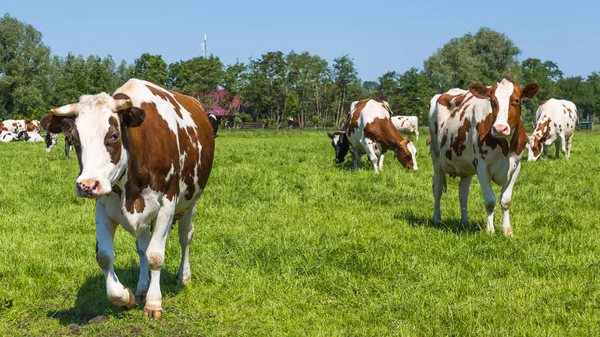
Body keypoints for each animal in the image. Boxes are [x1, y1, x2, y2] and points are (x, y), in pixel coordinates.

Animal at [39, 78, 214, 318]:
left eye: (113, 136)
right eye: (74, 139)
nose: (87, 185)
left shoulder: (167, 206)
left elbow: (156, 256)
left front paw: (153, 303)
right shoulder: (103, 207)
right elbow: (105, 256)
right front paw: (125, 298)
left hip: (190, 202)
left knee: (185, 237)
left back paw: (183, 277)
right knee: (142, 247)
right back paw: (141, 288)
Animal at [428, 78, 540, 236]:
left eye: (516, 100)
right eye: (492, 101)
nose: (500, 128)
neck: (505, 147)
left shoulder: (516, 166)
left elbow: (506, 200)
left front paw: (507, 231)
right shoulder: (482, 166)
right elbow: (490, 201)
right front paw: (490, 230)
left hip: (466, 166)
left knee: (463, 192)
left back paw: (465, 221)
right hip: (436, 157)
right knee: (437, 188)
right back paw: (437, 219)